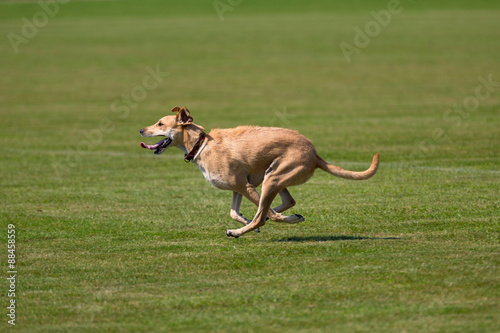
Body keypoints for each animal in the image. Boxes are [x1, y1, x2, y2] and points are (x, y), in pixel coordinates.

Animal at [140, 105, 378, 236]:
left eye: (160, 124)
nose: (141, 130)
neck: (201, 144)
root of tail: (314, 153)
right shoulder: (238, 188)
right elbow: (235, 212)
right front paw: (248, 219)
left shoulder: (243, 186)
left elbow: (263, 215)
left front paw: (269, 221)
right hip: (273, 176)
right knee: (284, 202)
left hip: (273, 177)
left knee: (264, 214)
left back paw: (239, 232)